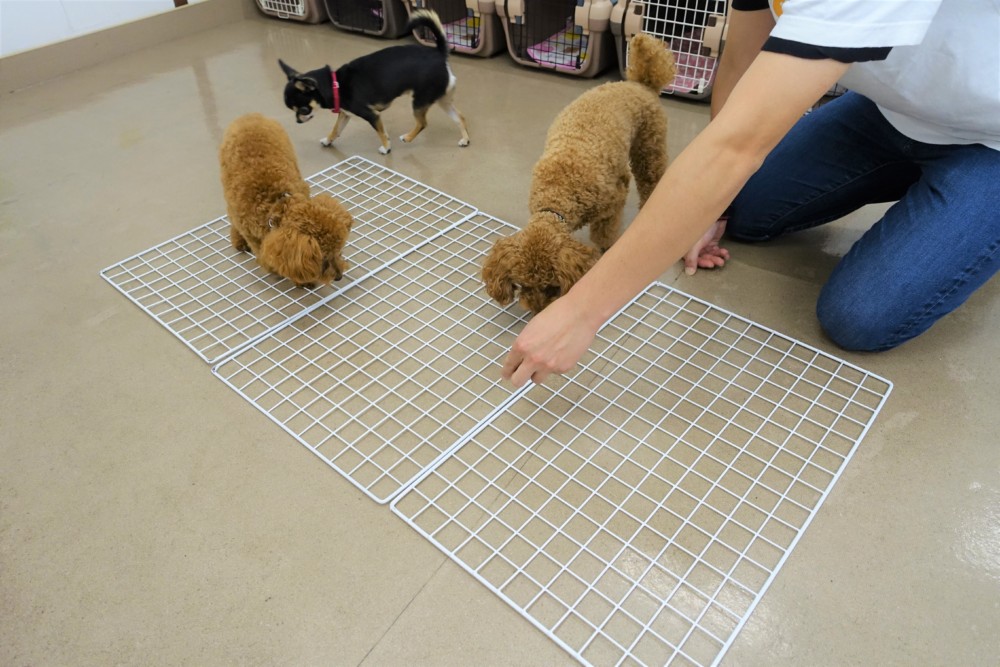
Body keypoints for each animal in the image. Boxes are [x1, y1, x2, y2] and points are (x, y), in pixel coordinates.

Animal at [219, 112, 353, 288]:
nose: (339, 277)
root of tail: (249, 116)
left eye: (339, 251)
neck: (276, 202)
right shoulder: (252, 235)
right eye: (322, 258)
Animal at [278, 9, 470, 155]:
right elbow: (336, 130)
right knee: (460, 117)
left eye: (302, 110)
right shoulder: (345, 114)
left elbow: (380, 133)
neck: (335, 84)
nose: (297, 121)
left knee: (422, 123)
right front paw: (327, 140)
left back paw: (407, 137)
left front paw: (386, 148)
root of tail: (439, 53)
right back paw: (465, 139)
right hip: (441, 98)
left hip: (420, 101)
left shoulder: (372, 115)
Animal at [481, 34, 675, 314]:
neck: (556, 195)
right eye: (522, 284)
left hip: (649, 146)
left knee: (652, 179)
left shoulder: (610, 204)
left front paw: (606, 247)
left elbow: (604, 233)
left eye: (550, 285)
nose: (537, 310)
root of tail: (640, 84)